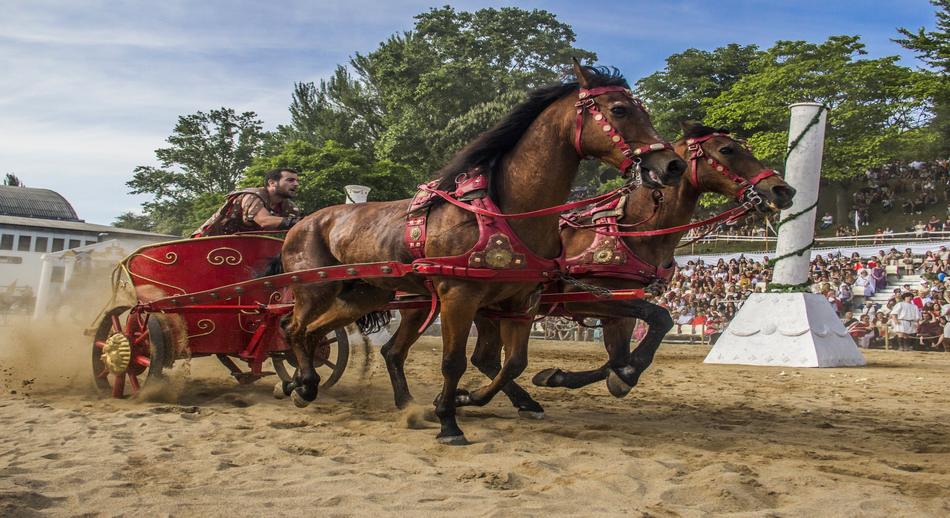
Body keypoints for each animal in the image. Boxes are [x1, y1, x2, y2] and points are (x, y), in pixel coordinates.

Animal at [278, 61, 688, 444]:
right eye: (619, 109)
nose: (672, 165)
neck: (506, 211)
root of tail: (304, 222)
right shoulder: (459, 296)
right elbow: (454, 362)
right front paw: (448, 421)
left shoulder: (522, 300)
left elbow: (515, 362)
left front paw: (471, 401)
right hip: (314, 289)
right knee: (295, 329)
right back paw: (305, 382)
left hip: (365, 295)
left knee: (336, 337)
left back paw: (358, 394)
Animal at [384, 120, 796, 416]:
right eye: (727, 149)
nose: (783, 190)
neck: (632, 229)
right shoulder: (587, 297)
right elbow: (659, 320)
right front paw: (618, 376)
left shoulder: (620, 310)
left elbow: (623, 353)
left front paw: (575, 376)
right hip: (441, 303)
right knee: (427, 351)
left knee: (477, 357)